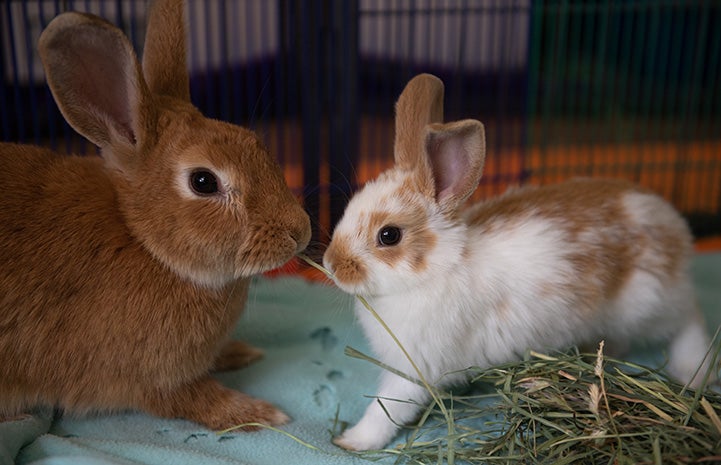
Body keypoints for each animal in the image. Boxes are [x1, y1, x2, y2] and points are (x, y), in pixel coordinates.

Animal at [0, 0, 311, 431]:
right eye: (203, 182)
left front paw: (239, 352)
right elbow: (198, 400)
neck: (144, 242)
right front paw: (260, 413)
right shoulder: (149, 381)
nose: (302, 232)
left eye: (255, 142)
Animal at [322, 73, 712, 451]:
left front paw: (351, 441)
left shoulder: (415, 370)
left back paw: (693, 370)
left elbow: (385, 409)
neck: (438, 267)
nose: (331, 264)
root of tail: (672, 222)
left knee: (691, 317)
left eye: (389, 236)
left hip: (650, 304)